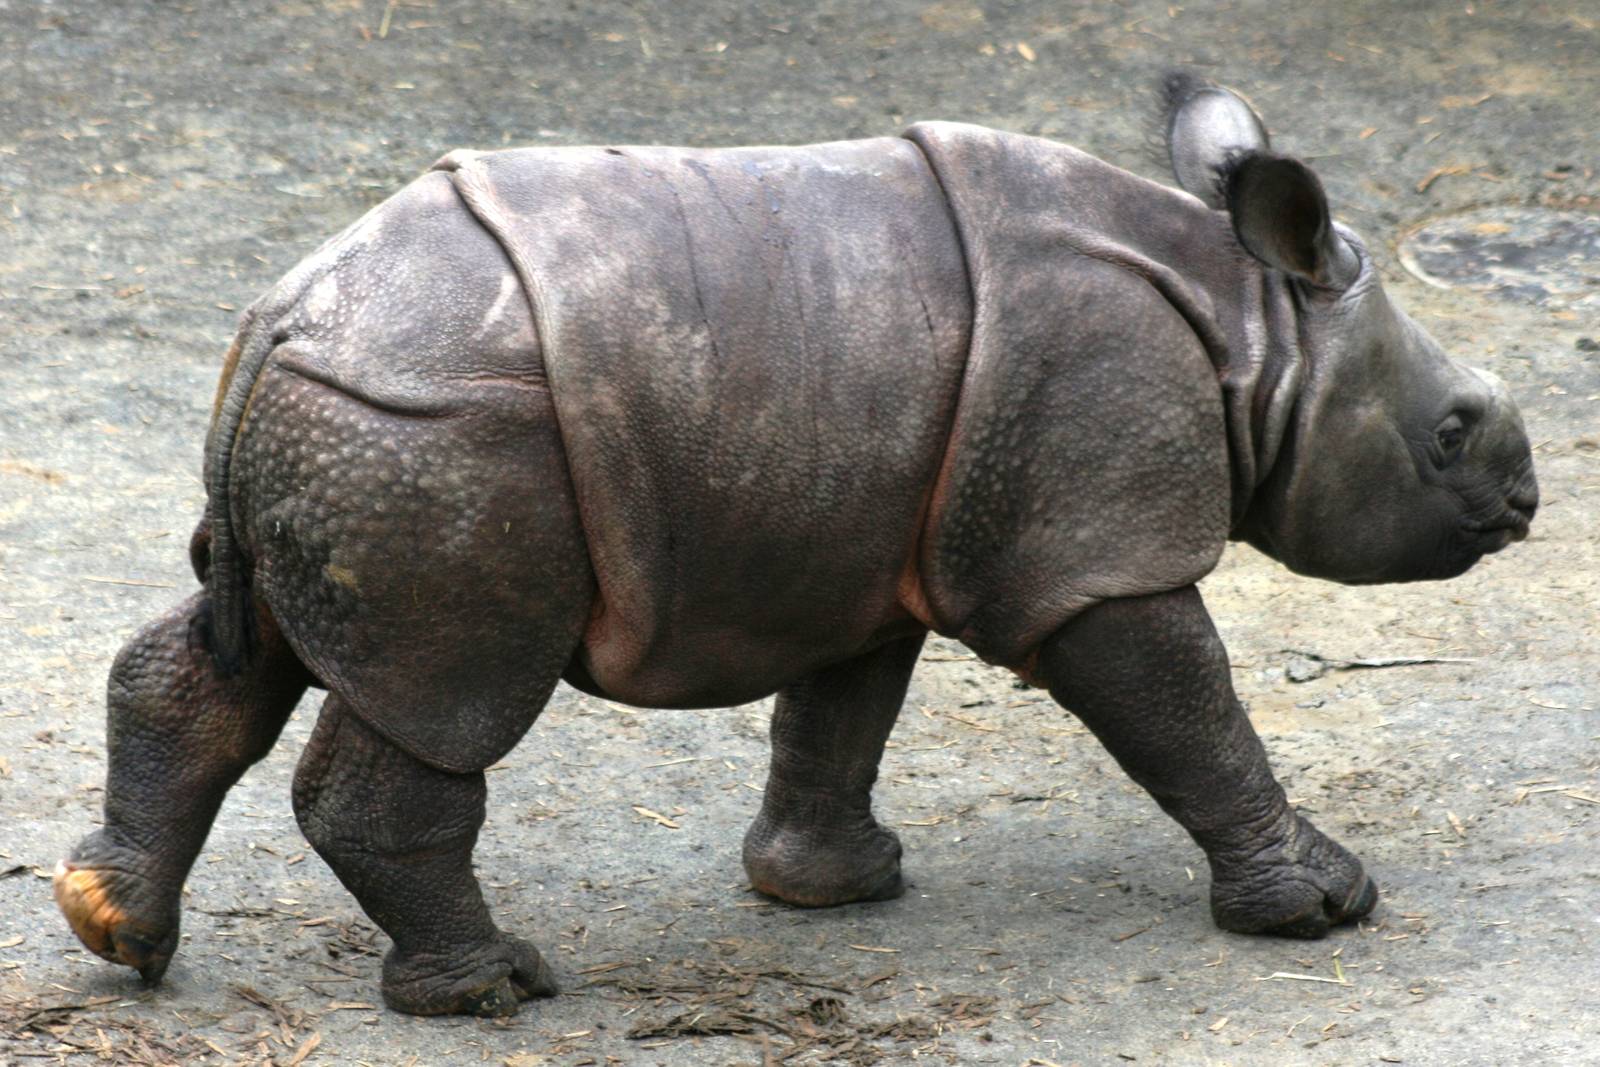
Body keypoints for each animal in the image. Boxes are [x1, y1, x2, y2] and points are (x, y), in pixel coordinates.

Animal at [56, 77, 1537, 1017]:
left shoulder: (860, 523)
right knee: (449, 693)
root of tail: (277, 321)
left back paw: (115, 927)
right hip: (434, 433)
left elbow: (841, 705)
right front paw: (1328, 902)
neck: (1255, 329)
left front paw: (832, 888)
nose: (1526, 501)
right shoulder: (1088, 547)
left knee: (245, 649)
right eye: (1451, 432)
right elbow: (1186, 702)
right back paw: (496, 989)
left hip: (347, 432)